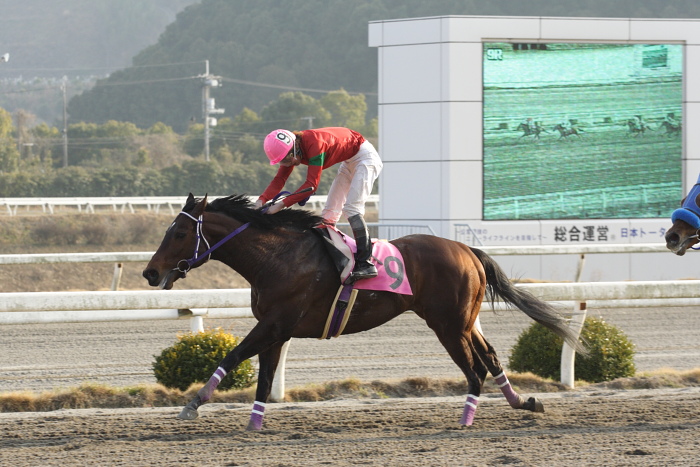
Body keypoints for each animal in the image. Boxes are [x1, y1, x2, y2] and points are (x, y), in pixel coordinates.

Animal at [142, 194, 584, 432]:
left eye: (179, 233)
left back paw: (466, 420)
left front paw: (193, 403)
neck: (277, 257)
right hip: (464, 321)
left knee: (474, 369)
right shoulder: (276, 329)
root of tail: (467, 250)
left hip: (447, 324)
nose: (151, 272)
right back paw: (524, 403)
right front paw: (254, 424)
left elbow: (233, 355)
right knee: (490, 357)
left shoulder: (275, 322)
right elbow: (264, 378)